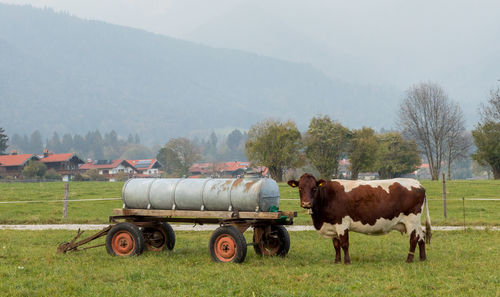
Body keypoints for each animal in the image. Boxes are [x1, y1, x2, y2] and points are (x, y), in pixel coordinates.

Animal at [288, 172, 432, 262]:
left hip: (411, 220)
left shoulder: (342, 223)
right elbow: (336, 245)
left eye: (314, 188)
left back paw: (409, 260)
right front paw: (336, 261)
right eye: (300, 188)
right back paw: (422, 258)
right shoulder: (332, 224)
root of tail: (418, 183)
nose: (306, 203)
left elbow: (344, 243)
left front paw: (347, 261)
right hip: (415, 223)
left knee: (414, 239)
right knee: (422, 236)